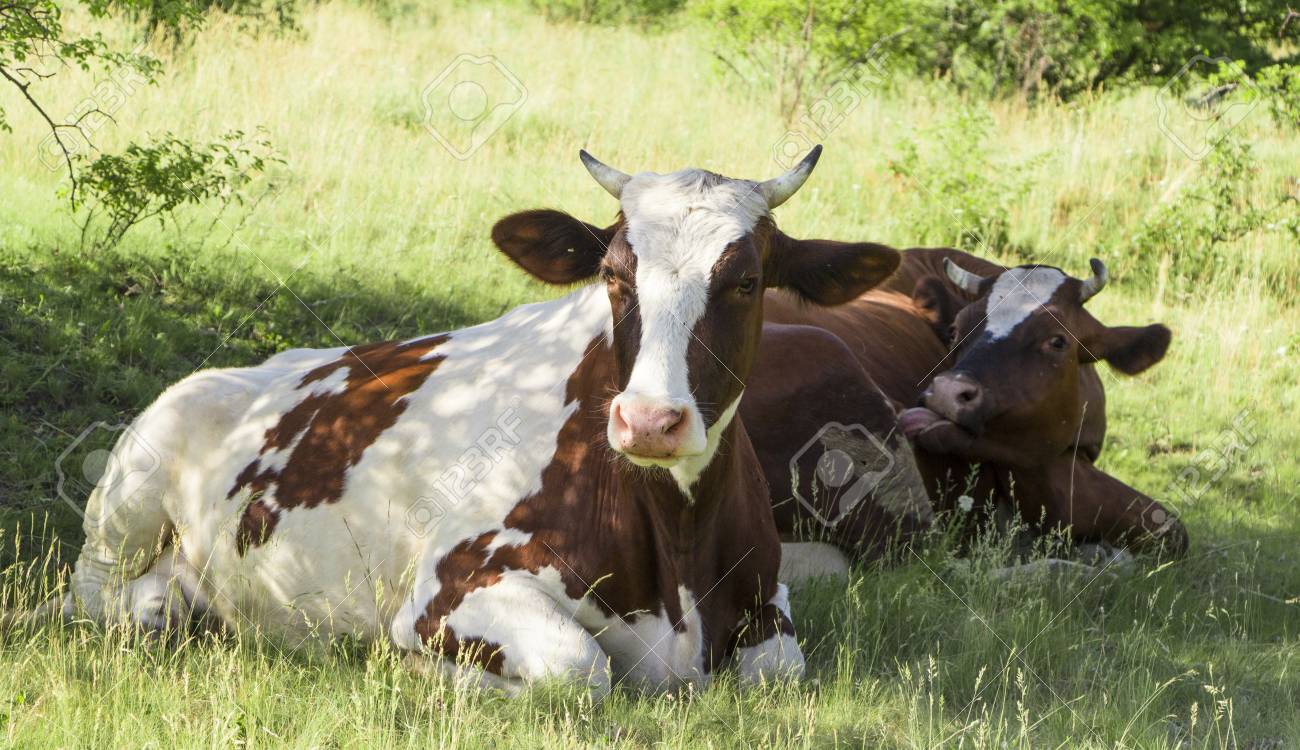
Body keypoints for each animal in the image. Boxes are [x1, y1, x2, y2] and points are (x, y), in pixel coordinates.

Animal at [33, 147, 903, 698]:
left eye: (747, 281)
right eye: (613, 277)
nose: (651, 421)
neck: (676, 540)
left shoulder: (766, 603)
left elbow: (780, 670)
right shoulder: (449, 589)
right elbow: (576, 672)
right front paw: (417, 671)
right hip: (128, 495)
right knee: (92, 593)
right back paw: (152, 607)